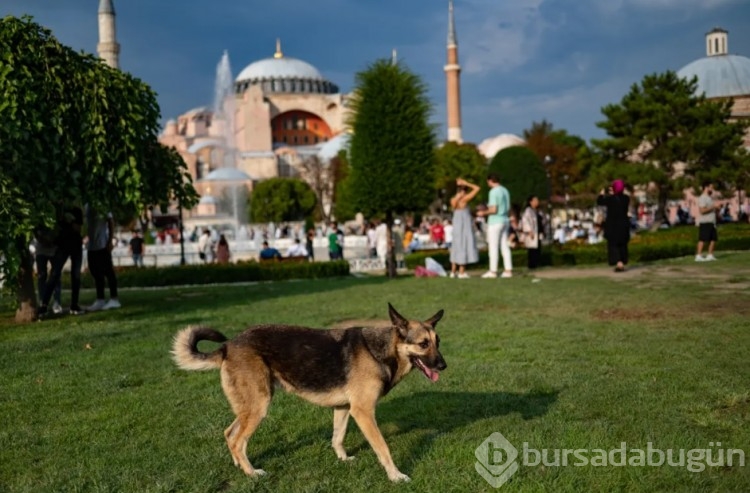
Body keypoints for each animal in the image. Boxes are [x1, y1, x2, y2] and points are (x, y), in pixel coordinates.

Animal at [172, 302, 446, 478]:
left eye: (438, 342)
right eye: (423, 344)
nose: (444, 365)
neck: (381, 350)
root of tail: (228, 345)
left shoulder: (344, 408)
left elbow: (337, 437)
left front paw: (343, 459)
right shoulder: (364, 412)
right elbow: (383, 447)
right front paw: (396, 476)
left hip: (249, 407)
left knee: (229, 434)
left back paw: (239, 466)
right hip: (259, 406)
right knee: (239, 441)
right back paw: (252, 473)